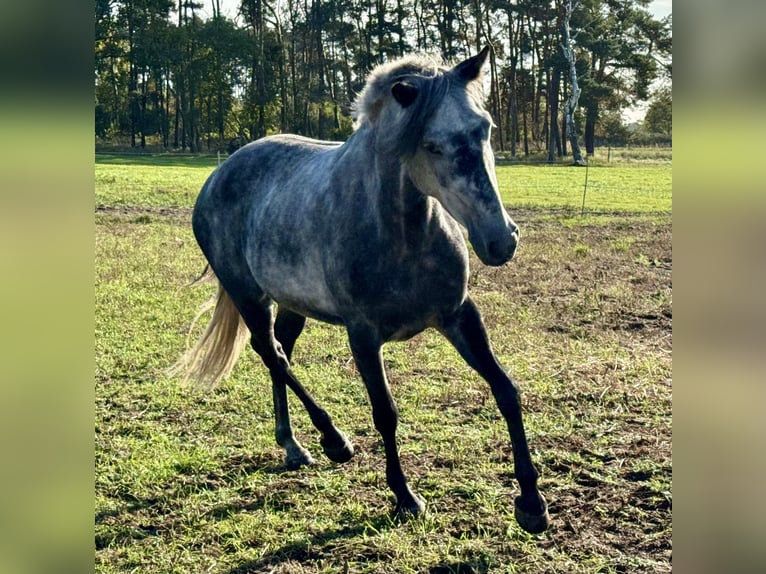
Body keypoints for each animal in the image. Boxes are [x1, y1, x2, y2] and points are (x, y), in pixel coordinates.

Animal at [172, 48, 548, 536]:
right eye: (431, 145)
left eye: (484, 127)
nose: (500, 240)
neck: (404, 237)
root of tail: (220, 173)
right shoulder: (363, 335)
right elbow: (385, 412)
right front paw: (406, 498)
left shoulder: (460, 315)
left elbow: (506, 391)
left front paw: (532, 503)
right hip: (248, 295)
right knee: (271, 353)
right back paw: (332, 441)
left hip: (292, 303)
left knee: (281, 351)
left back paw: (293, 445)